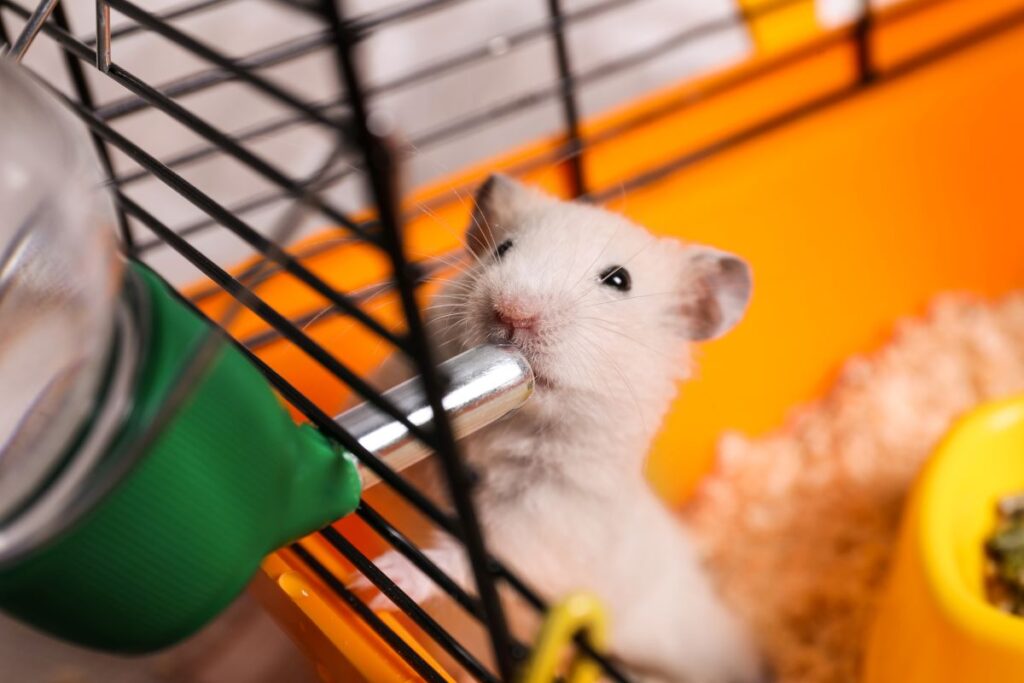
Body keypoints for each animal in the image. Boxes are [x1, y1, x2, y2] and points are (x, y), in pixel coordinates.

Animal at [357, 175, 763, 683]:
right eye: (503, 248)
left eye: (619, 280)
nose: (512, 312)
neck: (514, 421)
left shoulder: (546, 522)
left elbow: (476, 559)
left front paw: (376, 582)